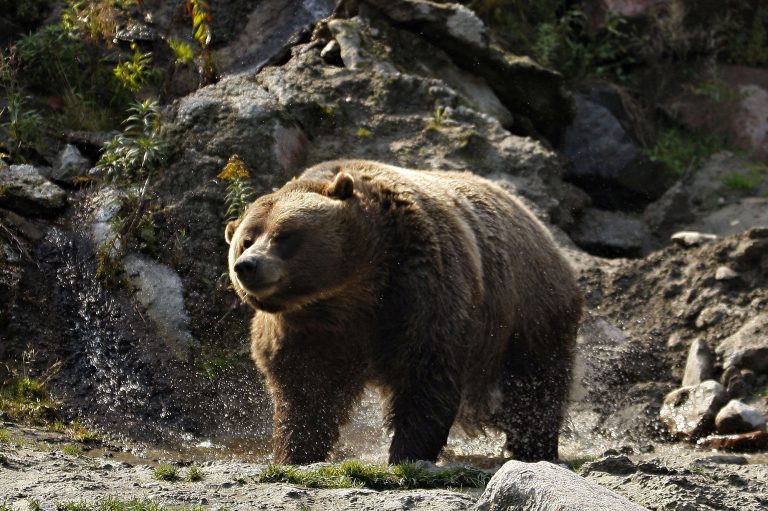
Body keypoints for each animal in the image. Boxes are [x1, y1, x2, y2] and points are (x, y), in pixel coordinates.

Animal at [225, 160, 583, 465]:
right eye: (246, 239)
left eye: (284, 235)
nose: (247, 266)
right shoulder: (304, 328)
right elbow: (306, 391)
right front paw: (297, 452)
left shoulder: (419, 288)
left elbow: (425, 372)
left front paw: (407, 452)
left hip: (528, 306)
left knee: (535, 382)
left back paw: (534, 447)